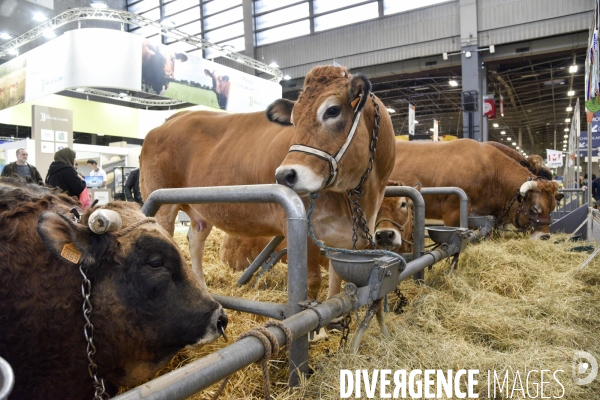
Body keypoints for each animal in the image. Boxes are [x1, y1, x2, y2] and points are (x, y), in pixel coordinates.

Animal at [138, 65, 396, 302]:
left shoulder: (344, 239)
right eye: (293, 120)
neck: (360, 199)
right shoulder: (298, 228)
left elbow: (336, 285)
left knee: (195, 241)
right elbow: (312, 282)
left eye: (333, 110)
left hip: (200, 209)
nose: (284, 175)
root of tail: (175, 117)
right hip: (161, 205)